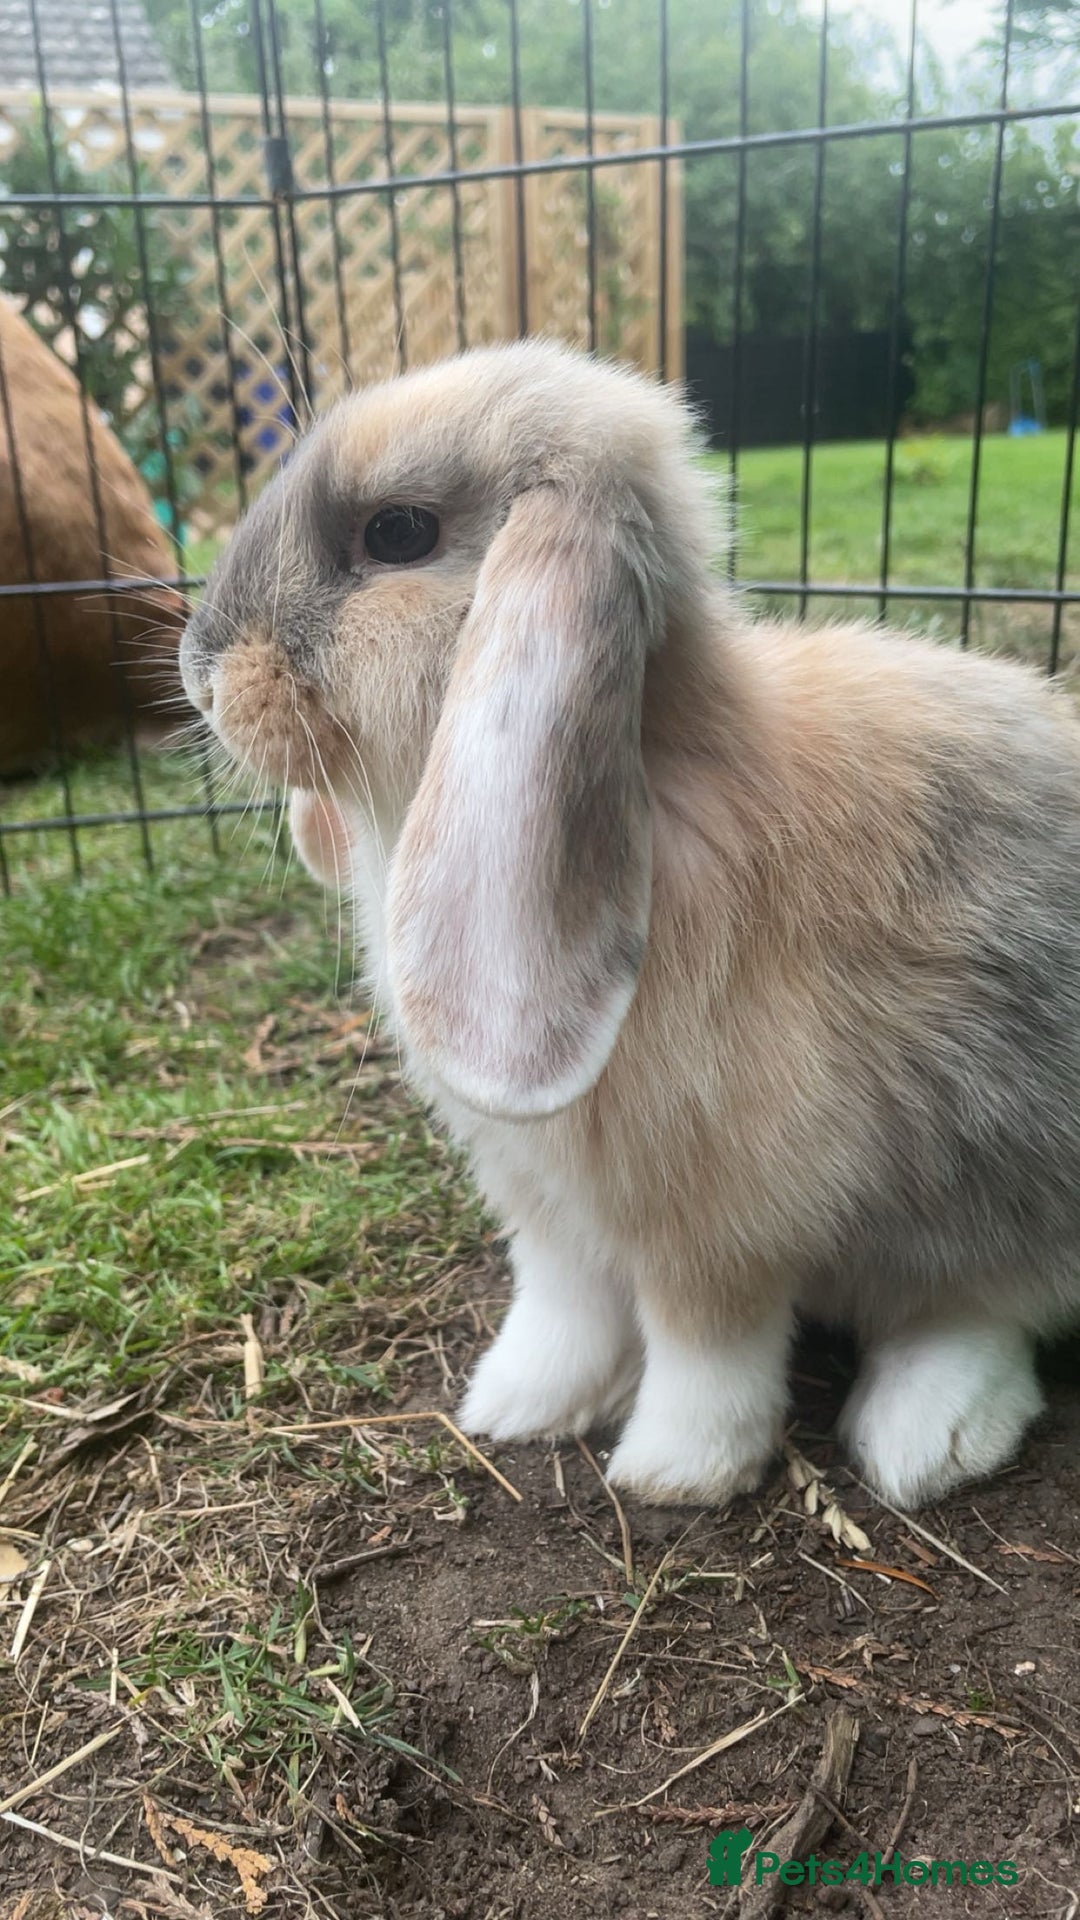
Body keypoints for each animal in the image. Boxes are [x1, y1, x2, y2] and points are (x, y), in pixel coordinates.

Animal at [180, 336, 1080, 1511]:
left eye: (398, 533)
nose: (199, 667)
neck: (656, 787)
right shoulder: (543, 1200)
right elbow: (562, 1302)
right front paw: (515, 1404)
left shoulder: (723, 1215)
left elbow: (707, 1341)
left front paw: (675, 1470)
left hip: (993, 1185)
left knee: (989, 1308)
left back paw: (925, 1440)